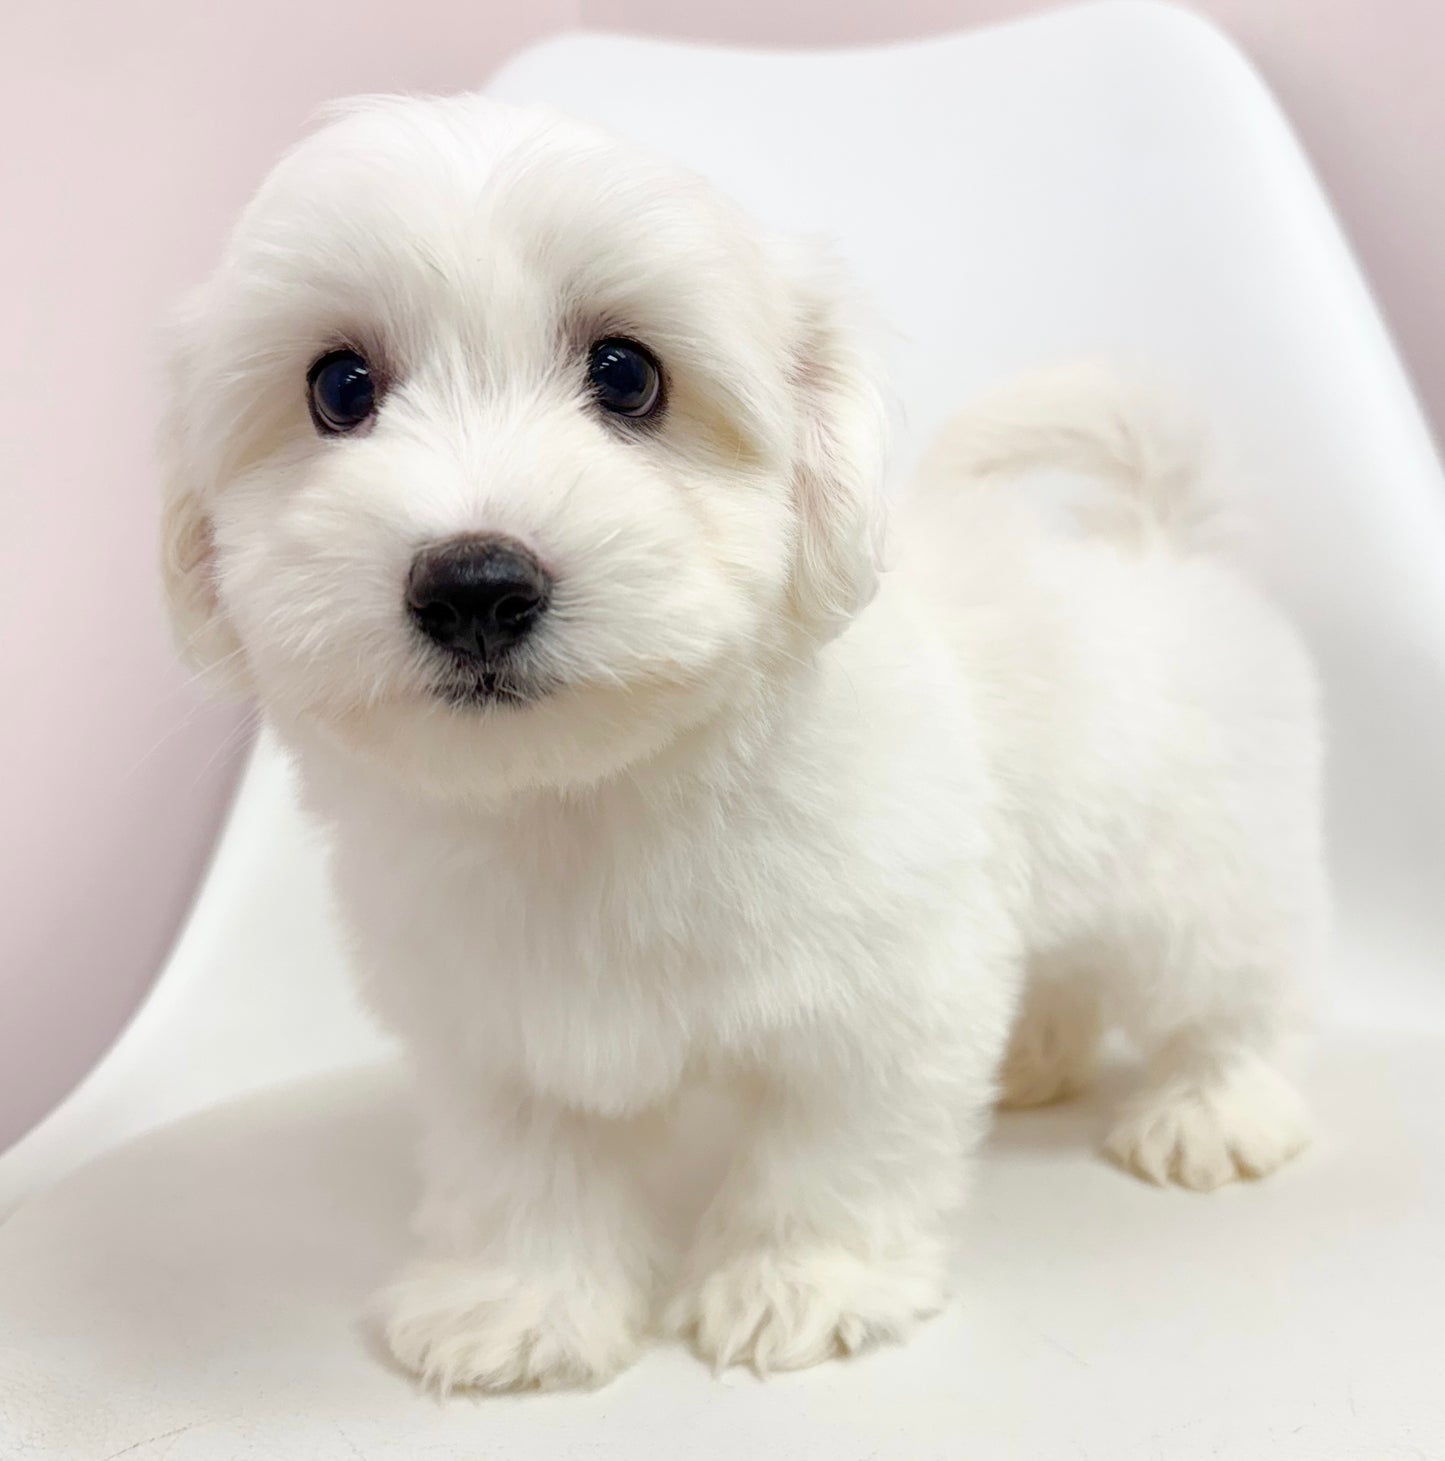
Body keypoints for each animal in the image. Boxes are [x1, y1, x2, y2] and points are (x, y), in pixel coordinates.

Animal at [157, 91, 1320, 1390]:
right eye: (340, 388)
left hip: (1209, 871)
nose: (474, 585)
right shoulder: (496, 1024)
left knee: (1235, 989)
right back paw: (1039, 1060)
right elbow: (522, 1167)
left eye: (627, 376)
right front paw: (519, 1301)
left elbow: (832, 1147)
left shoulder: (885, 994)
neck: (592, 794)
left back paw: (1216, 1108)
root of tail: (1155, 543)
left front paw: (799, 1282)